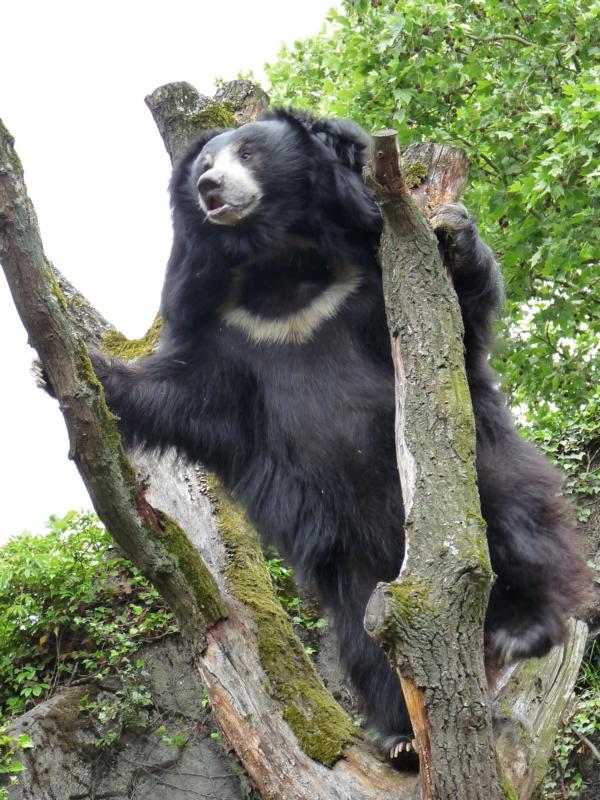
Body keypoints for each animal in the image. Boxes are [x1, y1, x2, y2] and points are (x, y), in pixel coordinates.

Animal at [90, 110, 589, 759]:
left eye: (248, 152)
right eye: (204, 163)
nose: (209, 189)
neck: (281, 259)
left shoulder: (371, 274)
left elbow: (460, 313)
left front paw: (455, 231)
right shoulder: (223, 331)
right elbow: (186, 394)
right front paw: (82, 370)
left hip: (479, 476)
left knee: (521, 526)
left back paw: (521, 629)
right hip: (357, 567)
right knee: (361, 637)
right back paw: (401, 738)